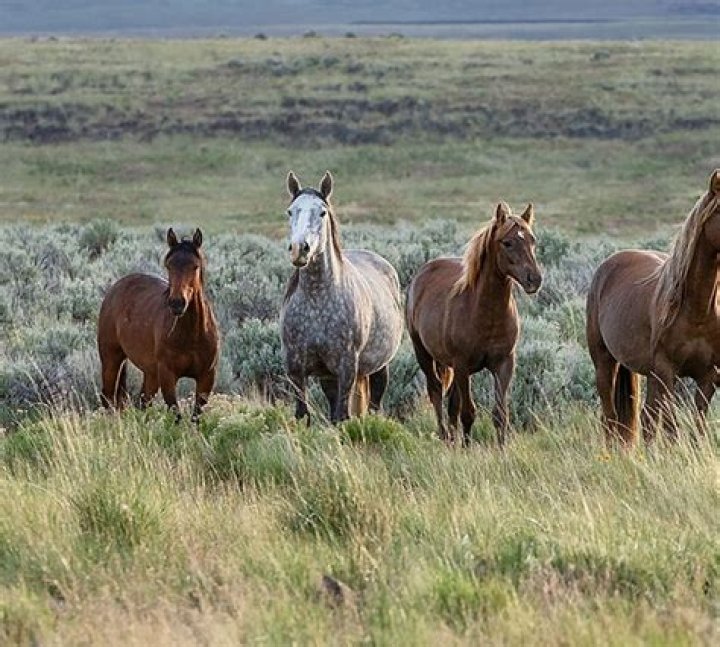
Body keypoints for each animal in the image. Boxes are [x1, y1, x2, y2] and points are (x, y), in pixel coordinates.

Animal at [97, 228, 219, 423]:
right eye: (168, 265)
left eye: (195, 266)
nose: (177, 303)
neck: (191, 334)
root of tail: (115, 288)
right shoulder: (167, 375)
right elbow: (176, 415)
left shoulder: (206, 377)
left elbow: (195, 417)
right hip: (111, 359)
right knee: (108, 397)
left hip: (150, 373)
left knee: (142, 402)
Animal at [280, 171, 403, 424]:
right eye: (290, 211)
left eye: (322, 212)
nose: (299, 249)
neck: (317, 302)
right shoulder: (296, 369)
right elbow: (303, 415)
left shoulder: (347, 367)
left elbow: (342, 416)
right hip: (328, 376)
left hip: (379, 368)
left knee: (374, 405)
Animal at [406, 202, 542, 446]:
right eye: (507, 243)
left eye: (532, 240)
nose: (534, 280)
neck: (487, 315)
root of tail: (422, 273)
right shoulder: (462, 366)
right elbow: (468, 413)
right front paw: (468, 448)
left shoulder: (504, 364)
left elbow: (499, 414)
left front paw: (501, 449)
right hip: (423, 353)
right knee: (436, 392)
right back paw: (445, 437)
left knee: (451, 403)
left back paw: (452, 440)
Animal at [586, 170, 720, 446]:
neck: (698, 312)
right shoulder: (667, 371)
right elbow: (671, 428)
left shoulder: (707, 376)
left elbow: (697, 428)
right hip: (604, 362)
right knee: (610, 417)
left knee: (646, 417)